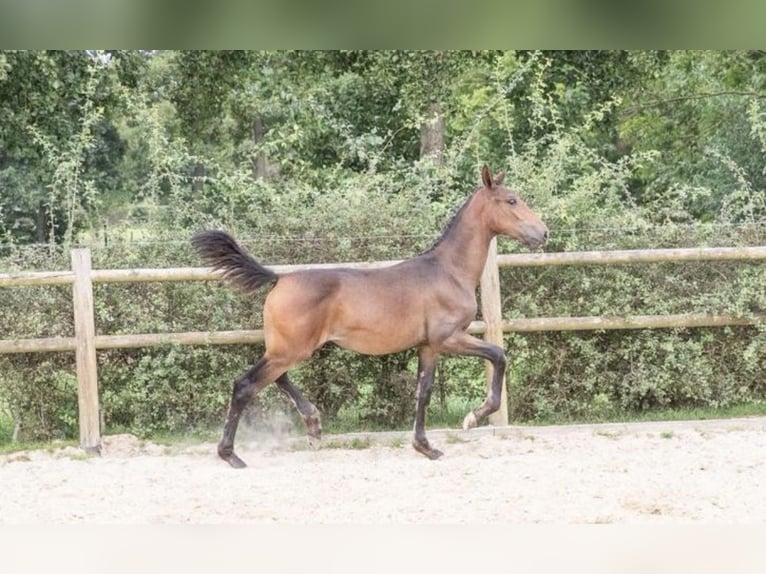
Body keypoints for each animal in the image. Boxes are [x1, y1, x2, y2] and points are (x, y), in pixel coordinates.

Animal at [194, 165, 552, 468]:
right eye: (511, 200)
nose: (544, 233)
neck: (448, 271)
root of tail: (279, 278)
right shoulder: (448, 338)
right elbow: (499, 355)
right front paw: (473, 417)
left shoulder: (428, 346)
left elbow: (423, 392)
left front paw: (425, 447)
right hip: (290, 350)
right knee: (245, 385)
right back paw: (230, 454)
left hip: (287, 348)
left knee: (277, 379)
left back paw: (313, 425)